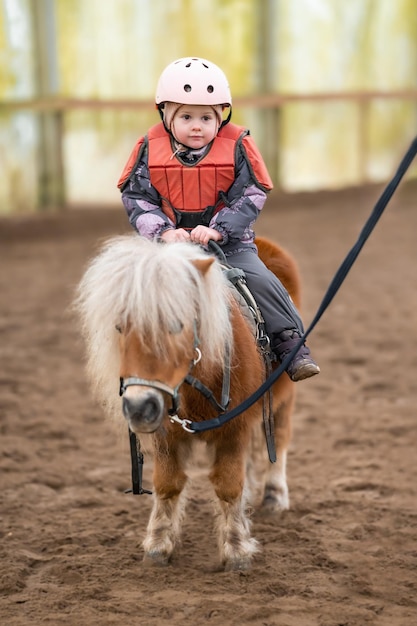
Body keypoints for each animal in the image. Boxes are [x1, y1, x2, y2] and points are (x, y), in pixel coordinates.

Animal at [75, 234, 300, 572]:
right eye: (120, 327)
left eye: (176, 324)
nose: (139, 408)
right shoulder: (167, 432)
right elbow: (167, 484)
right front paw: (158, 546)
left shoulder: (234, 426)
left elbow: (228, 485)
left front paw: (236, 550)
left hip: (282, 398)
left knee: (280, 439)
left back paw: (275, 496)